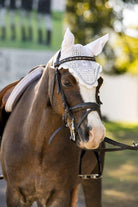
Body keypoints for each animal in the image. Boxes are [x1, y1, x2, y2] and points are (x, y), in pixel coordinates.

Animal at [0, 28, 108, 207]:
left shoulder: (59, 196)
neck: (36, 142)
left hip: (91, 180)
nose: (96, 133)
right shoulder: (14, 194)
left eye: (99, 82)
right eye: (66, 82)